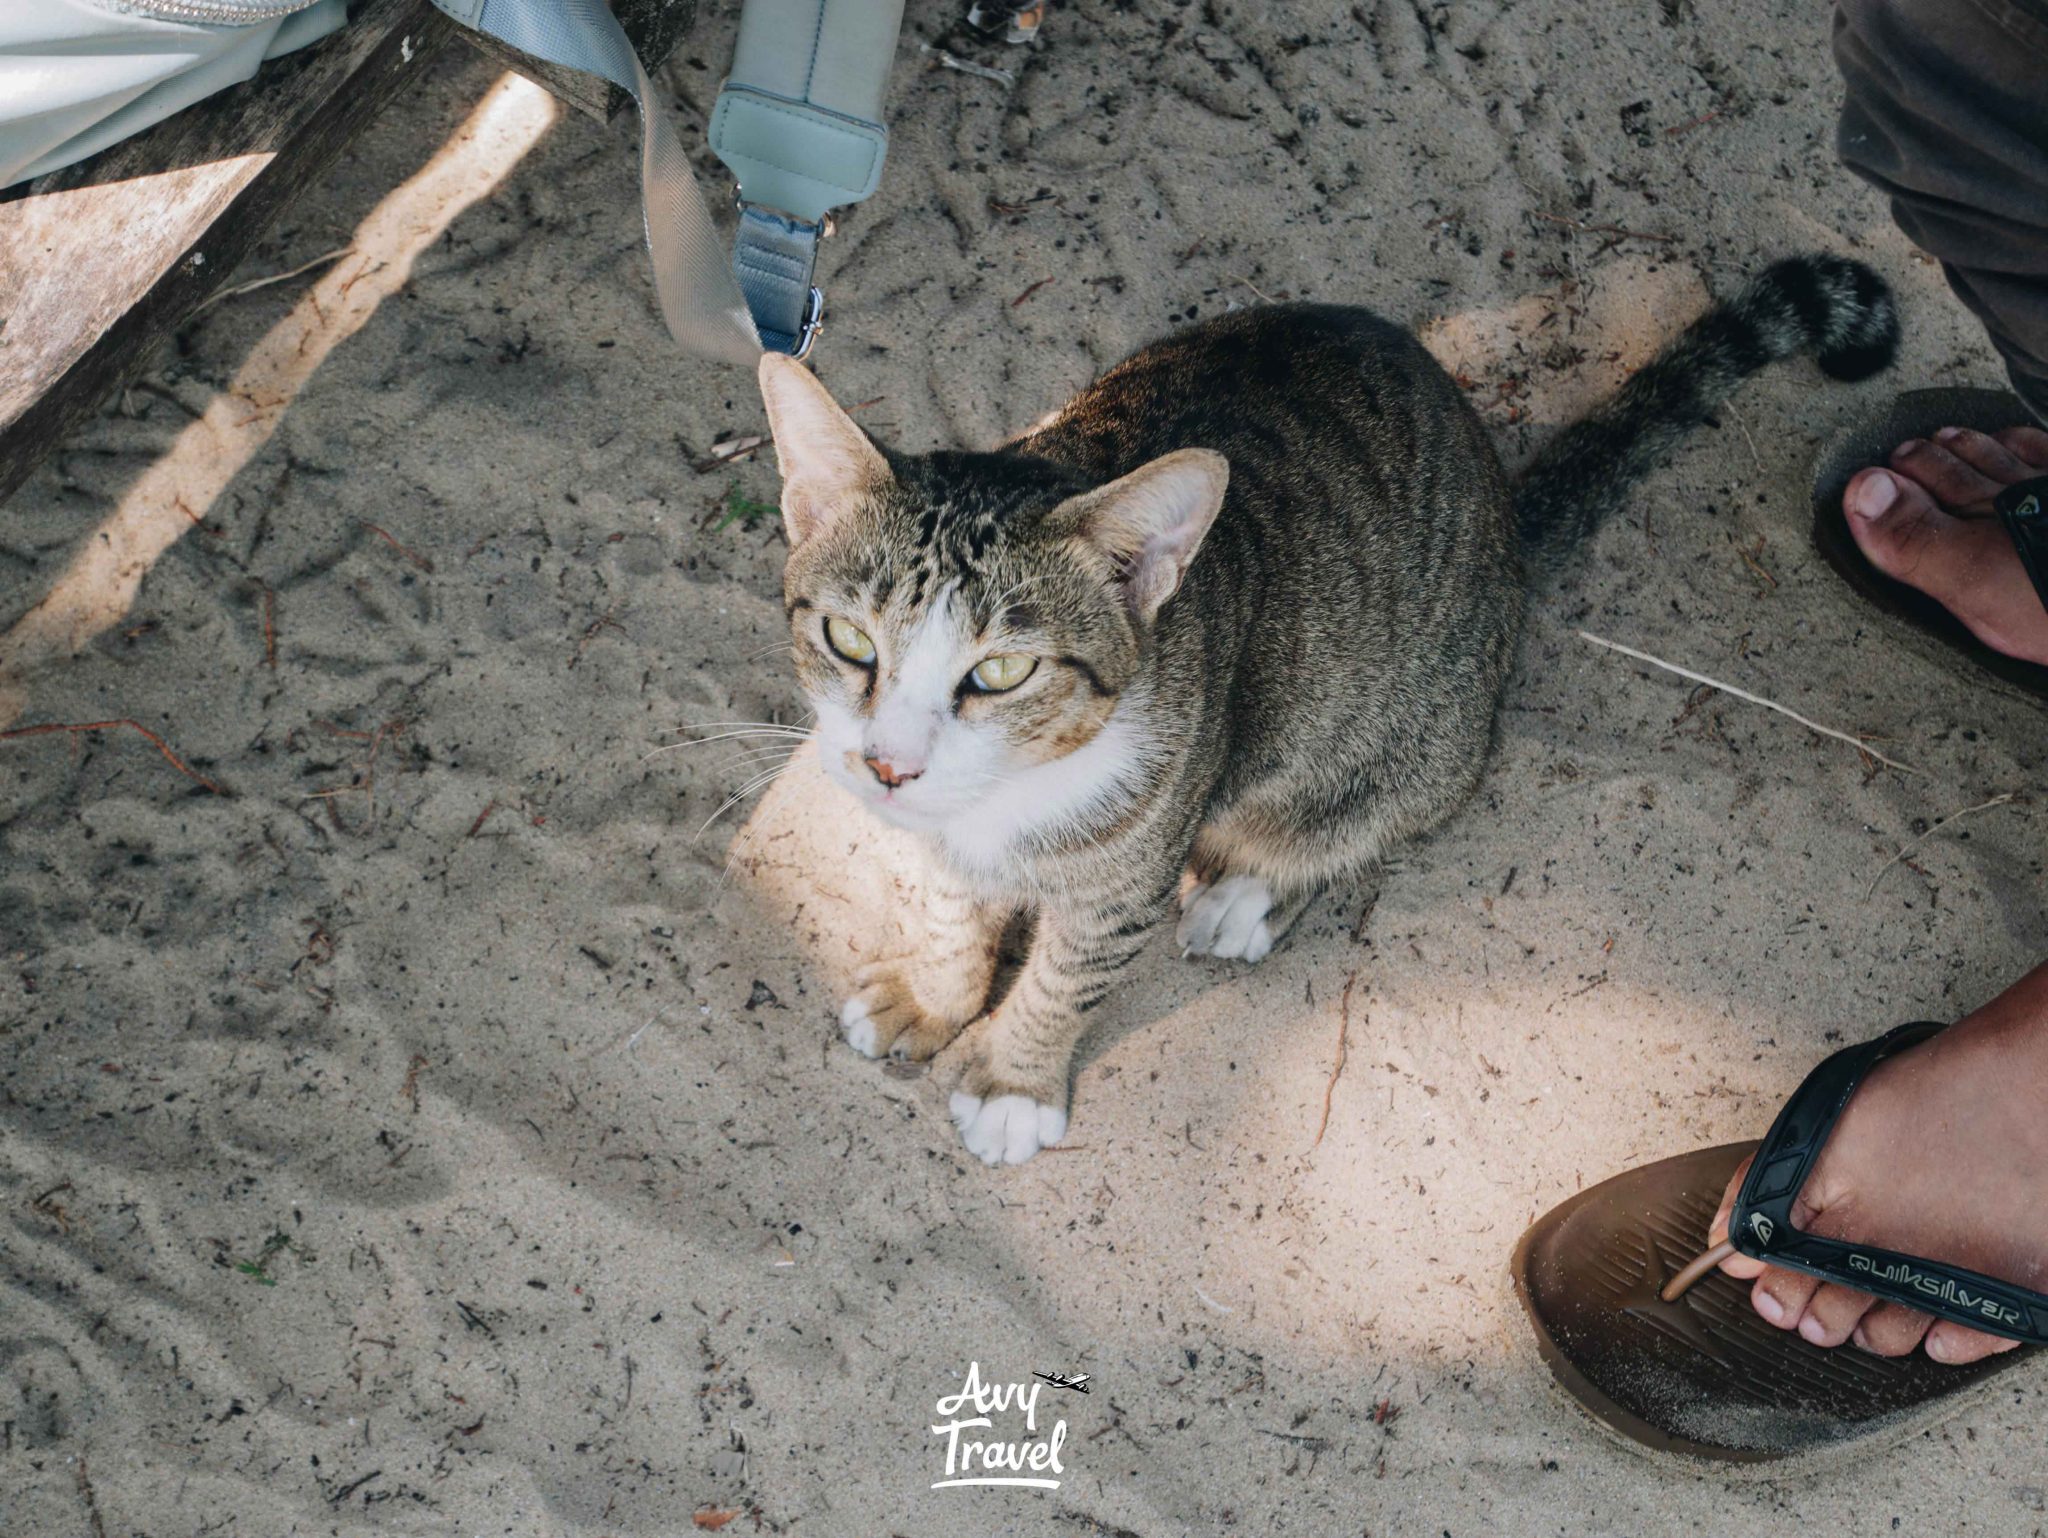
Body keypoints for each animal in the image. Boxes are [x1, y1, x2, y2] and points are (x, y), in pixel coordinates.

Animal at [761, 255, 1892, 1163]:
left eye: (999, 672)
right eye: (850, 641)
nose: (888, 764)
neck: (1003, 801)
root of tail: (1505, 528)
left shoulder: (1135, 857)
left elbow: (1068, 974)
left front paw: (1013, 1082)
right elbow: (951, 909)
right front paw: (936, 993)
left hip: (1403, 736)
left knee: (1353, 818)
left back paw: (1249, 892)